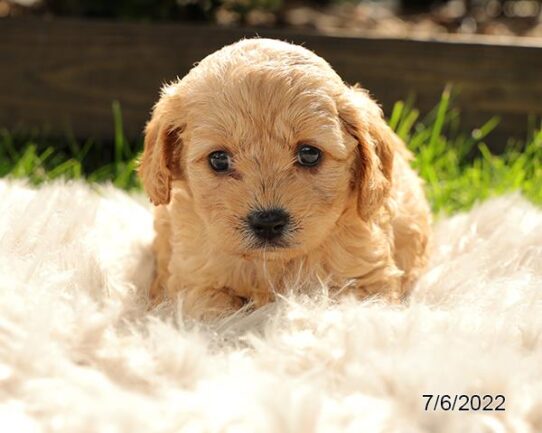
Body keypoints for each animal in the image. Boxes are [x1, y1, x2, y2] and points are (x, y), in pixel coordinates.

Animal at [140, 38, 434, 318]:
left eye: (309, 154)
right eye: (219, 159)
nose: (268, 222)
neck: (272, 265)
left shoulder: (368, 281)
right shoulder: (195, 280)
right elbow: (213, 311)